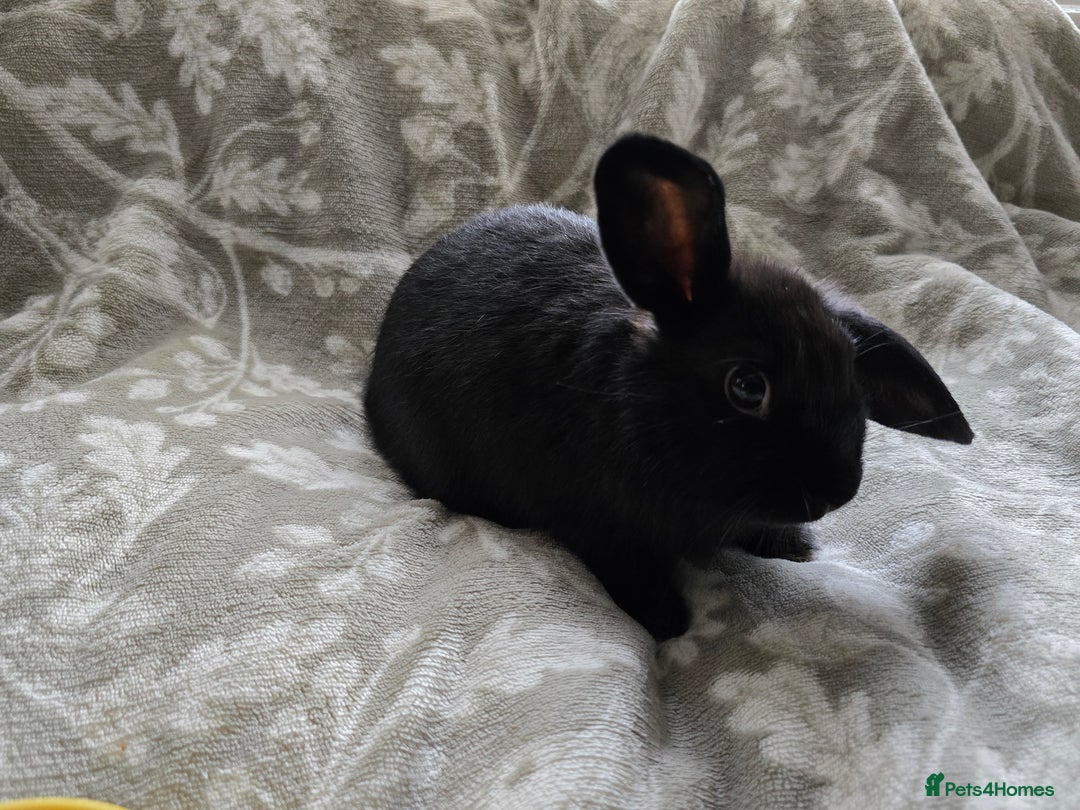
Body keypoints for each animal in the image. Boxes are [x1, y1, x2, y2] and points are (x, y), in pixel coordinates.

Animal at [364, 133, 973, 641]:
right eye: (746, 387)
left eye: (850, 371)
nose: (838, 491)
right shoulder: (598, 527)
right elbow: (629, 569)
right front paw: (666, 623)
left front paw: (794, 548)